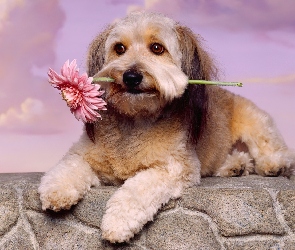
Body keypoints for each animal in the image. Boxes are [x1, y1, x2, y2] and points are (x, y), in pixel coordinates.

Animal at [39, 11, 295, 242]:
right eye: (119, 48)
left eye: (157, 48)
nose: (131, 76)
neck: (136, 119)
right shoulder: (83, 154)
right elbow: (70, 167)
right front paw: (56, 190)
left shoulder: (173, 168)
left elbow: (137, 189)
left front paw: (118, 222)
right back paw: (235, 165)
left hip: (255, 120)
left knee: (271, 148)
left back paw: (273, 165)